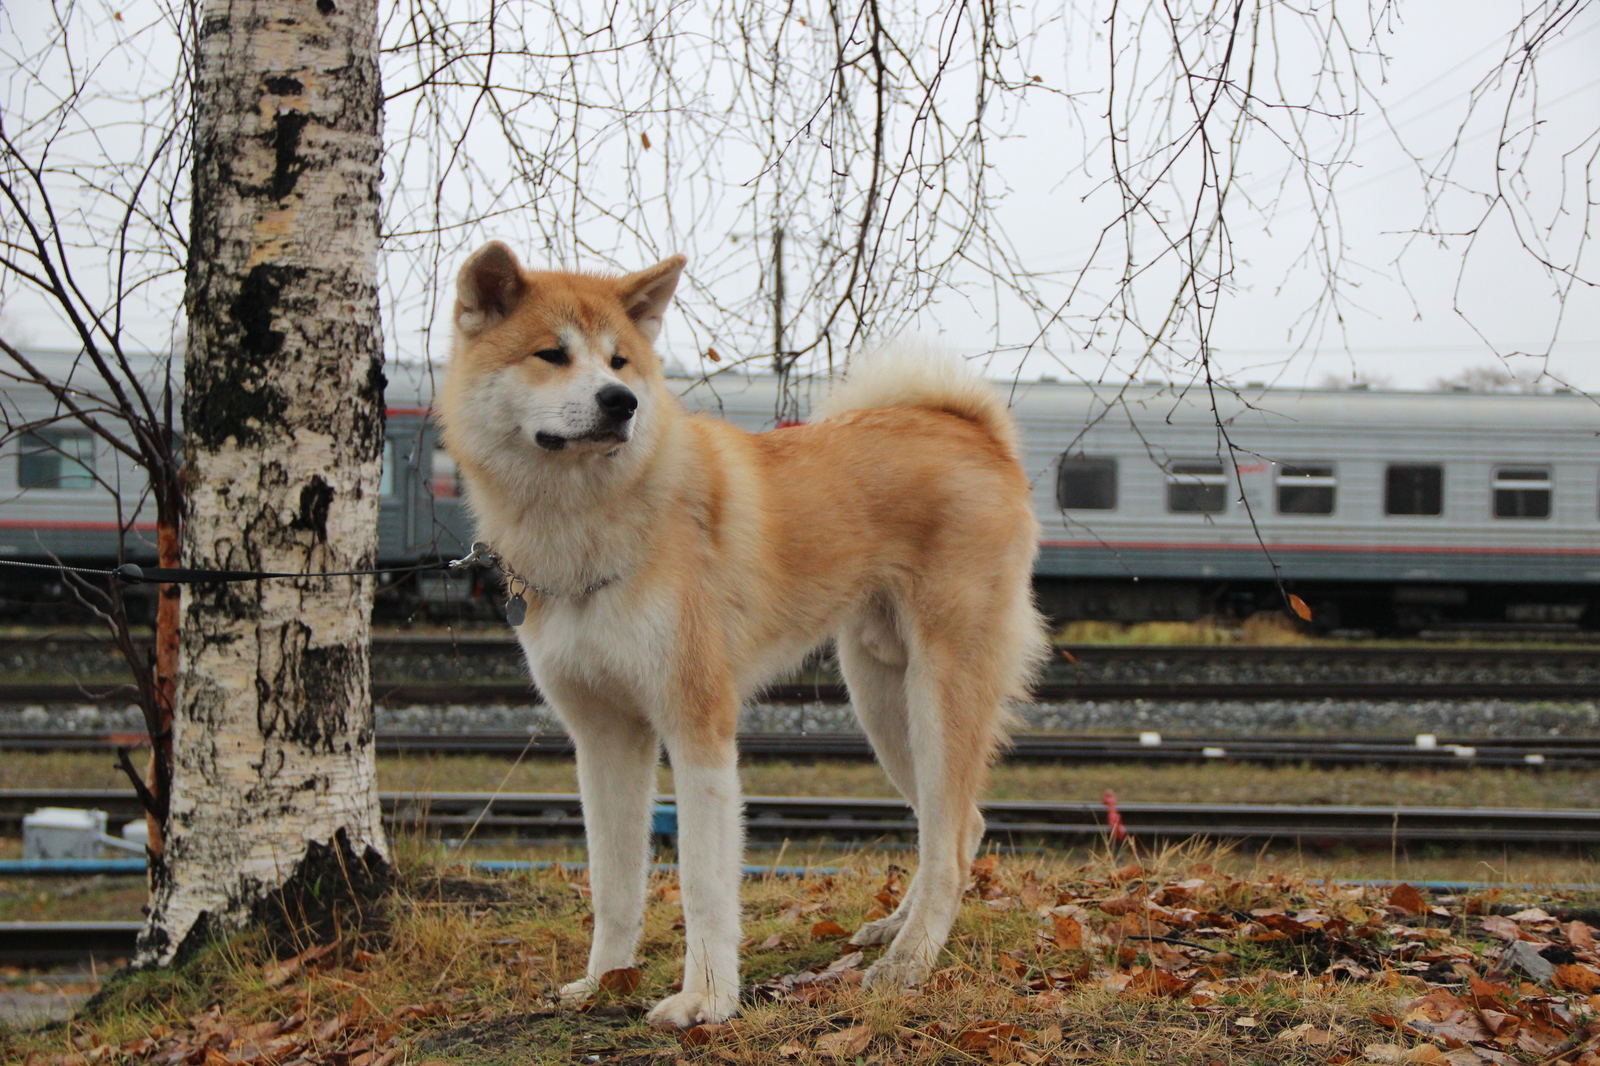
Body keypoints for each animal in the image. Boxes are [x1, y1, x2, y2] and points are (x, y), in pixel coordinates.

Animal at [435, 240, 1049, 1024]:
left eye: (620, 361)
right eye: (552, 354)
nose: (621, 402)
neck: (591, 524)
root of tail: (973, 431)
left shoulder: (698, 728)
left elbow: (704, 887)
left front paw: (705, 1000)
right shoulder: (604, 737)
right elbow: (613, 884)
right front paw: (604, 982)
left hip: (939, 694)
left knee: (951, 836)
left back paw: (911, 959)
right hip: (883, 698)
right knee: (958, 825)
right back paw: (894, 928)